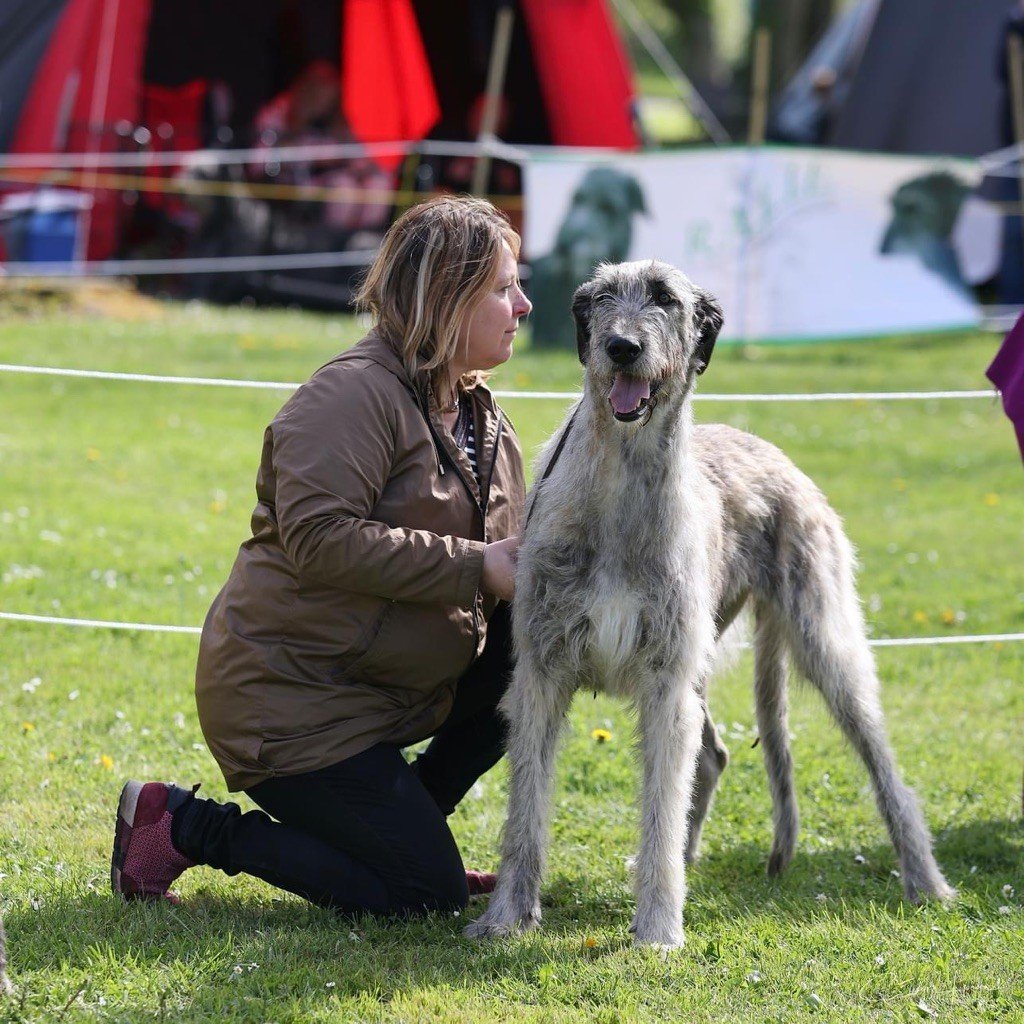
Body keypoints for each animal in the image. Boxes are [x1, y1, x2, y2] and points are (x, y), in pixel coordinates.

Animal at [468, 260, 954, 946]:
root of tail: (773, 451)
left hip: (823, 640)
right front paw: (508, 915)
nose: (622, 347)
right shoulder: (542, 674)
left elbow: (661, 806)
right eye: (604, 297)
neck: (620, 481)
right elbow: (525, 813)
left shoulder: (665, 682)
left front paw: (657, 929)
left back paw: (924, 879)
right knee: (715, 756)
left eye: (666, 299)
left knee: (885, 770)